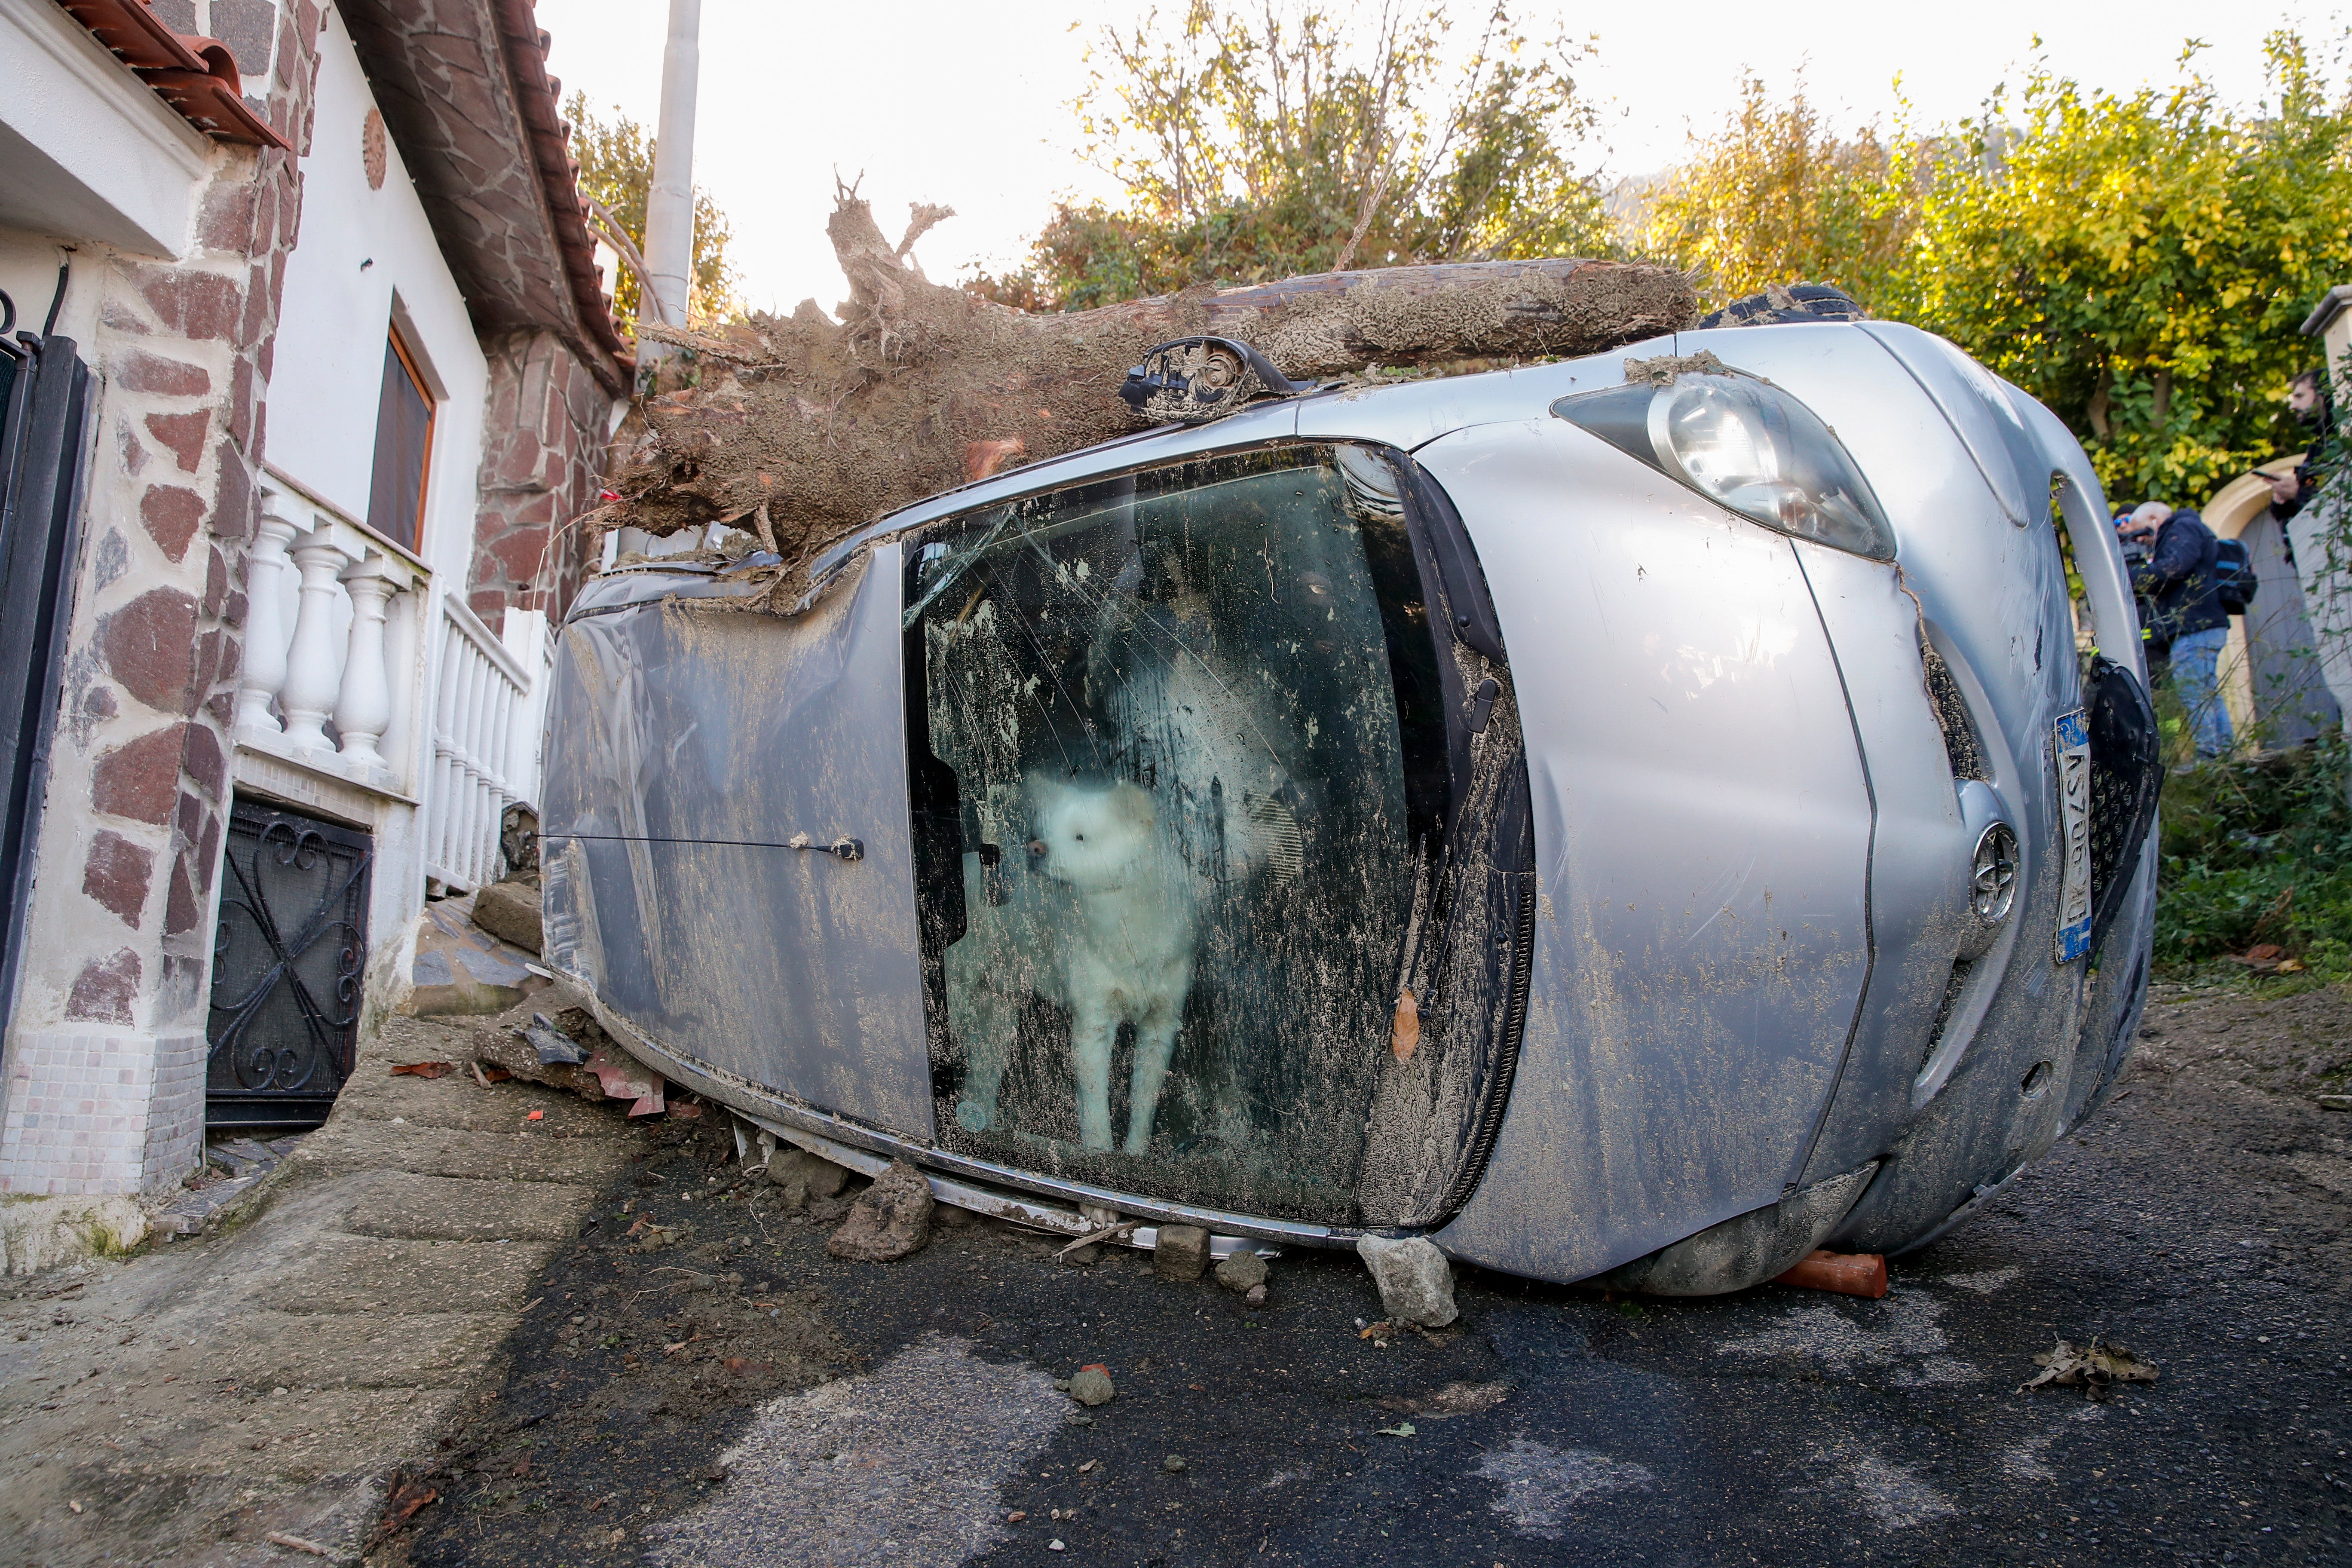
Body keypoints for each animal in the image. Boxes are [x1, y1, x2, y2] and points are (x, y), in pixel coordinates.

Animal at [1025, 771, 1194, 1152]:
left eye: (1080, 837)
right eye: (1045, 832)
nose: (1034, 849)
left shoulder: (1161, 1025)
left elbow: (1144, 1101)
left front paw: (1135, 1153)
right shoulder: (1094, 1022)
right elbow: (1095, 1105)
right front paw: (1100, 1152)